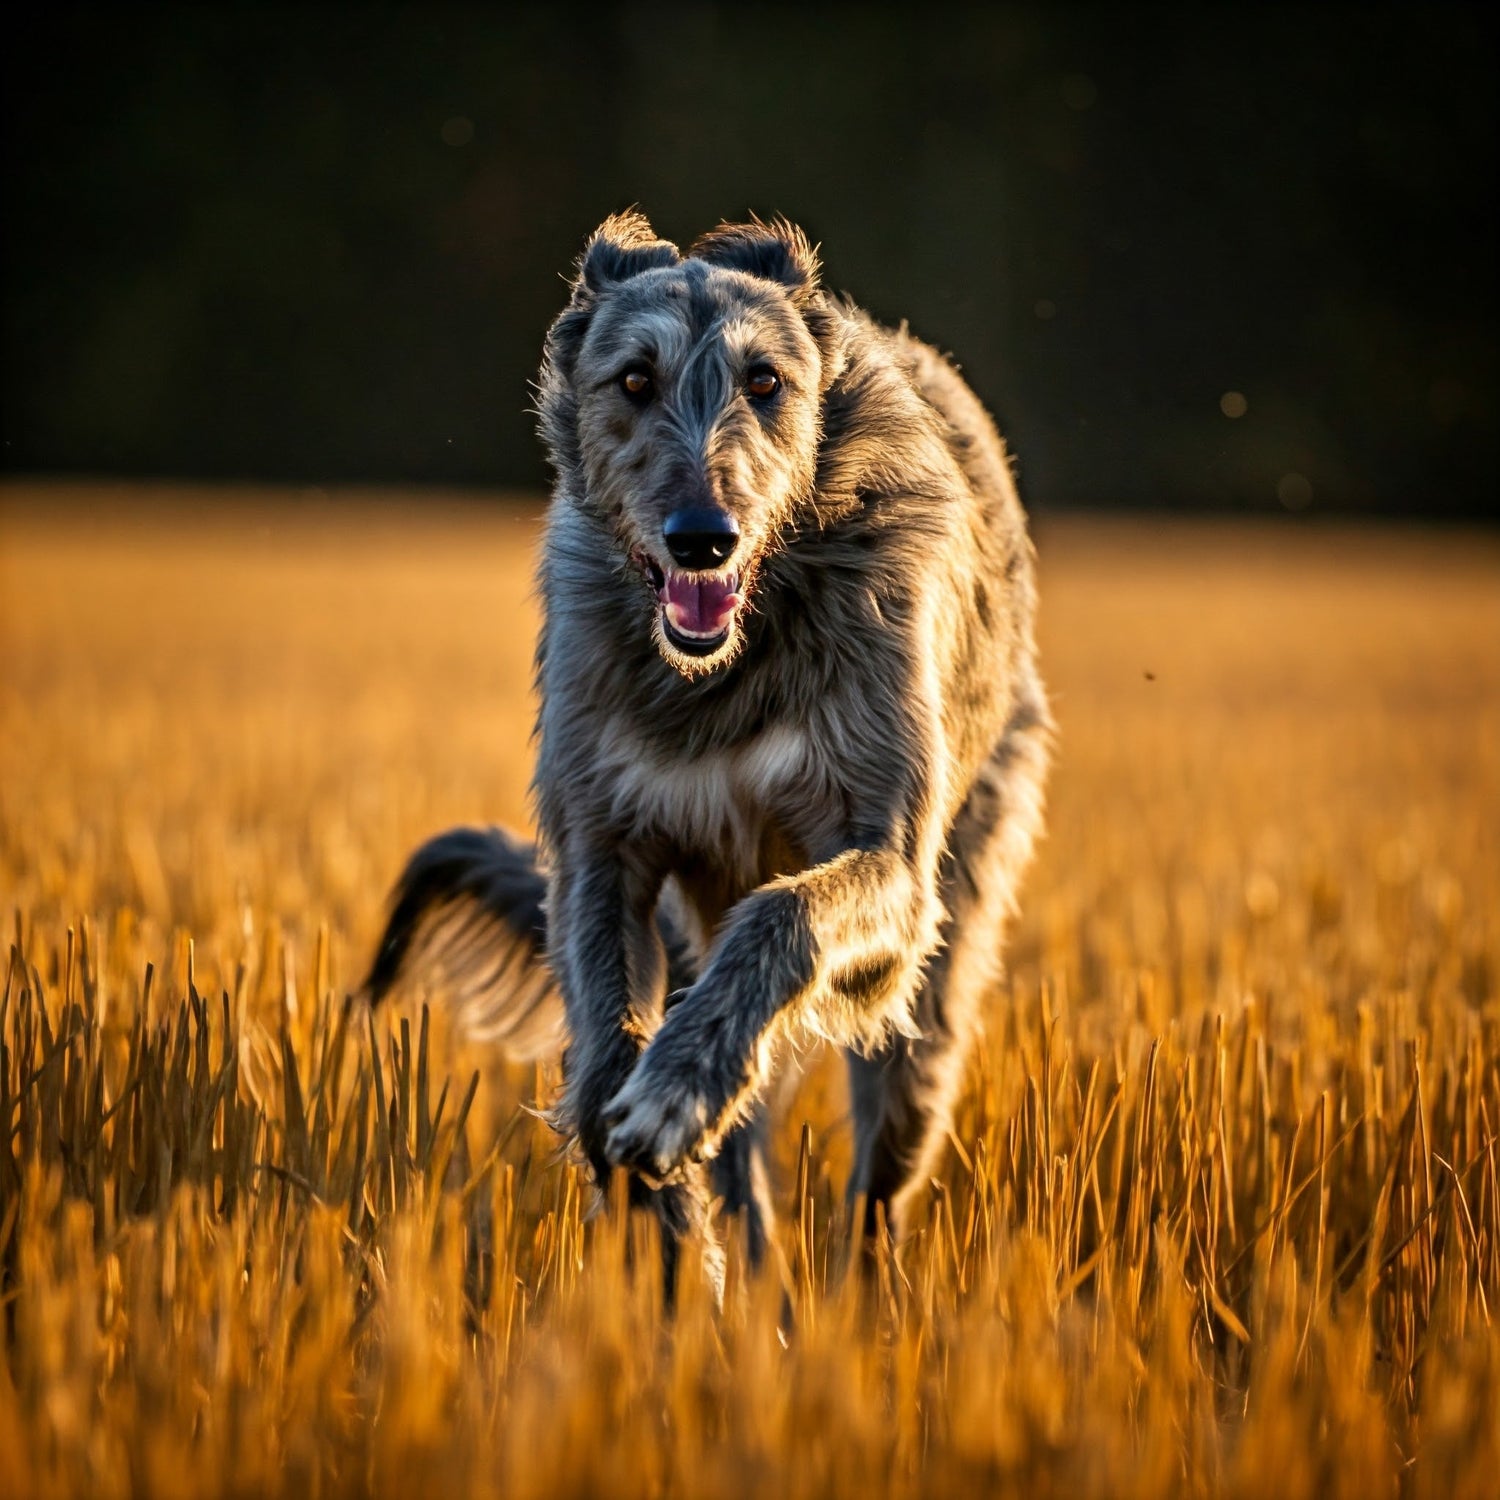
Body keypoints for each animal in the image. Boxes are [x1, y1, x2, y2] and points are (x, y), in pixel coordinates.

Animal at [364, 211, 1050, 1290]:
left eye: (765, 380)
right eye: (633, 380)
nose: (702, 540)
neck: (725, 670)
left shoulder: (890, 863)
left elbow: (787, 916)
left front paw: (673, 1095)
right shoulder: (601, 848)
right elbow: (605, 1036)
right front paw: (663, 1217)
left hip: (940, 968)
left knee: (880, 1166)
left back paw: (860, 1300)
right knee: (740, 1134)